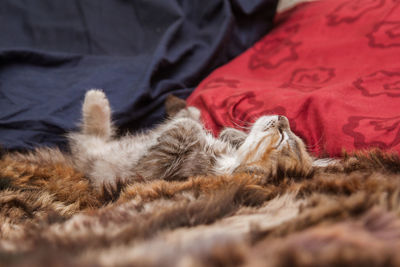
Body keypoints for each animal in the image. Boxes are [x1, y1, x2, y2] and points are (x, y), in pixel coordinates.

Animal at [67, 90, 320, 188]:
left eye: (280, 138)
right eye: (288, 135)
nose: (283, 119)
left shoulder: (156, 169)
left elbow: (185, 129)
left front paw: (191, 124)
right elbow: (221, 132)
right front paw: (233, 135)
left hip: (94, 157)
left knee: (88, 138)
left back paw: (95, 102)